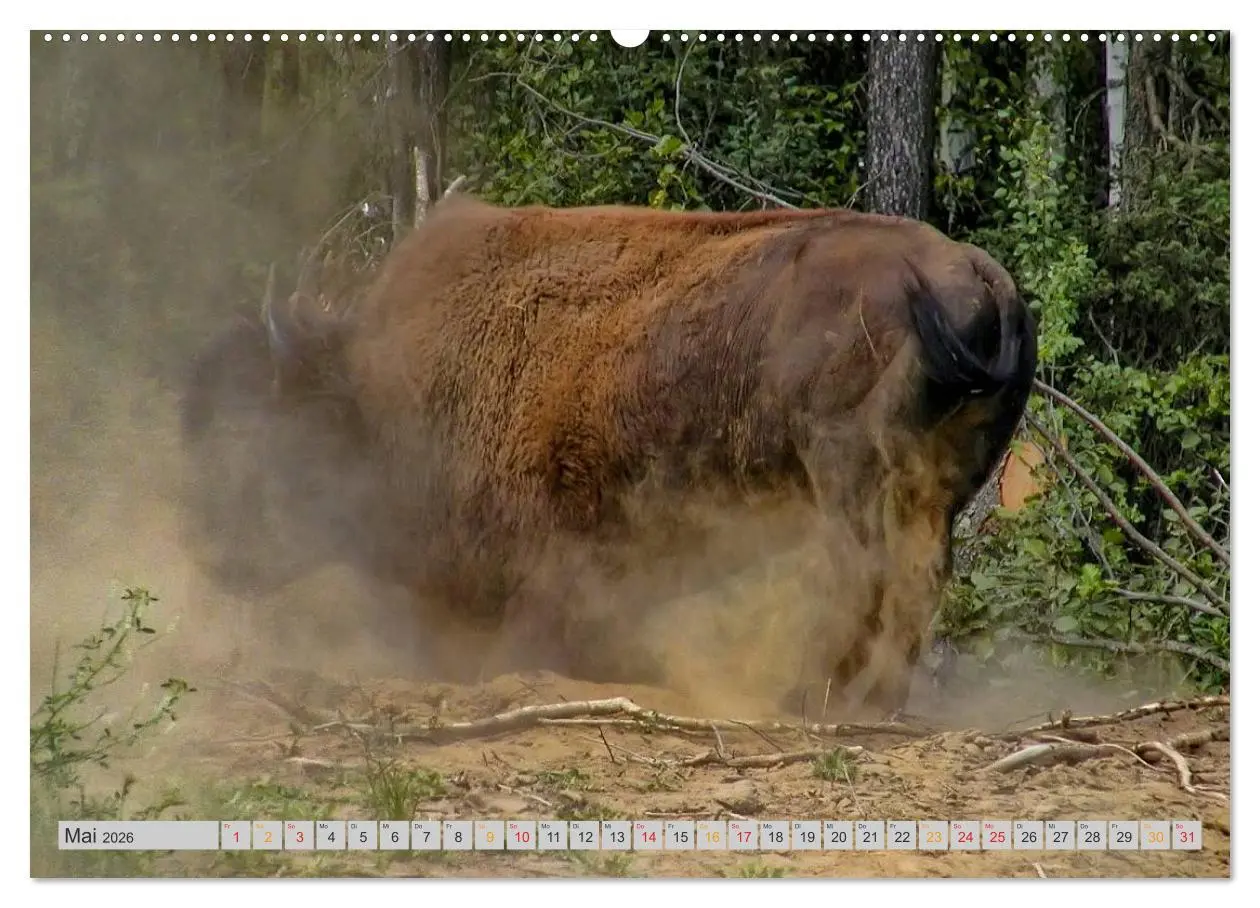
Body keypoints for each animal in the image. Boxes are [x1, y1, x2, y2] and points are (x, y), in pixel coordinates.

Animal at [178, 197, 1036, 715]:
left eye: (262, 427)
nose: (211, 553)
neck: (372, 390)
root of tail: (976, 279)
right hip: (939, 485)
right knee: (919, 578)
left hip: (844, 470)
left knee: (864, 573)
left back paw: (806, 695)